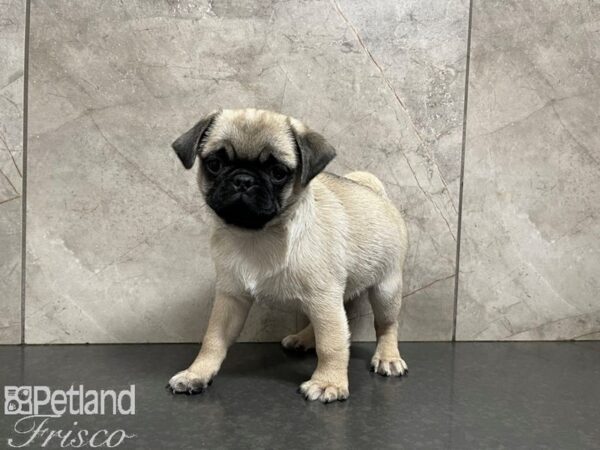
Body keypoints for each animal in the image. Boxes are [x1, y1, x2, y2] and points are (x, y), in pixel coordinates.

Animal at [171, 110, 410, 404]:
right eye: (214, 164)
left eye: (278, 173)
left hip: (386, 288)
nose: (243, 180)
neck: (258, 235)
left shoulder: (324, 298)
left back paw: (388, 357)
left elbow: (332, 343)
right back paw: (303, 339)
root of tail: (377, 194)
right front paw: (196, 374)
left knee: (386, 324)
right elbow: (213, 339)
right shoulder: (231, 297)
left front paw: (328, 383)